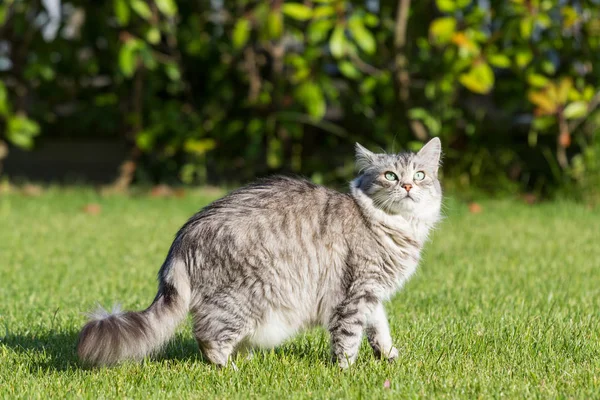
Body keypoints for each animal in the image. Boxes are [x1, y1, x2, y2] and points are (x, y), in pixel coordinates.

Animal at [77, 138, 440, 368]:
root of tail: (182, 240)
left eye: (420, 175)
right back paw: (230, 371)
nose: (408, 186)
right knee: (207, 337)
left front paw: (388, 356)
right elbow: (349, 336)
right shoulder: (355, 291)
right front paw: (346, 371)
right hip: (247, 297)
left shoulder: (371, 292)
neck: (397, 227)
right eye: (390, 176)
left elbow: (379, 328)